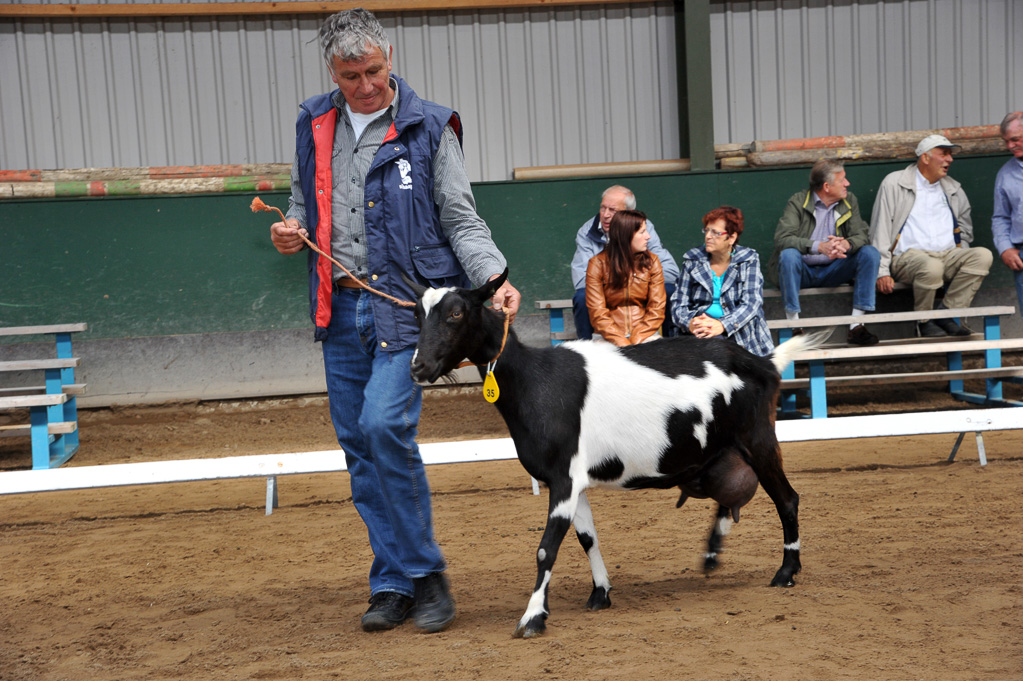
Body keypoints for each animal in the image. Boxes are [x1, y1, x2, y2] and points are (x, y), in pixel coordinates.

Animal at [405, 269, 822, 638]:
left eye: (456, 313)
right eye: (418, 314)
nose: (419, 366)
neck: (535, 381)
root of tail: (762, 362)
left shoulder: (565, 478)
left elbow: (545, 550)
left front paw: (533, 617)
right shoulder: (571, 482)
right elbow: (587, 538)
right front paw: (600, 593)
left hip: (758, 438)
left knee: (788, 499)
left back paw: (785, 573)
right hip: (720, 451)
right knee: (729, 496)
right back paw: (711, 555)